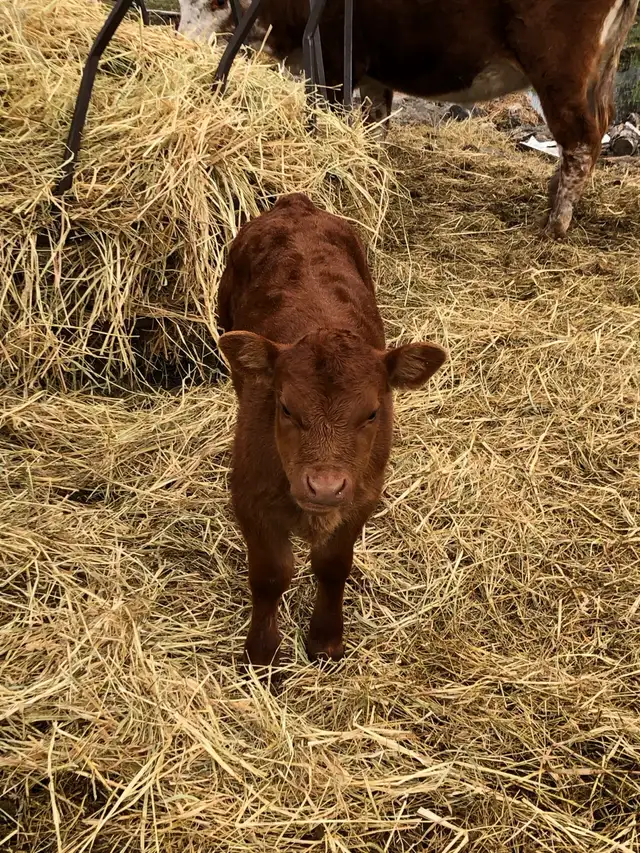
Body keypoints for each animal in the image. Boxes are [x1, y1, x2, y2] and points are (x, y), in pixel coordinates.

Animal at [178, 0, 639, 238]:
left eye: (214, 0)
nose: (184, 44)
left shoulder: (333, 58)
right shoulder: (371, 73)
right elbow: (374, 127)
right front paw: (373, 177)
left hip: (561, 69)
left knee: (580, 137)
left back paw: (555, 223)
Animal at [217, 193, 447, 667]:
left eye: (373, 413)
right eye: (286, 407)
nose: (323, 486)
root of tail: (295, 204)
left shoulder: (362, 494)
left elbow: (333, 566)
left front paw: (325, 641)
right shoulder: (248, 495)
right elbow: (271, 575)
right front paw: (262, 653)